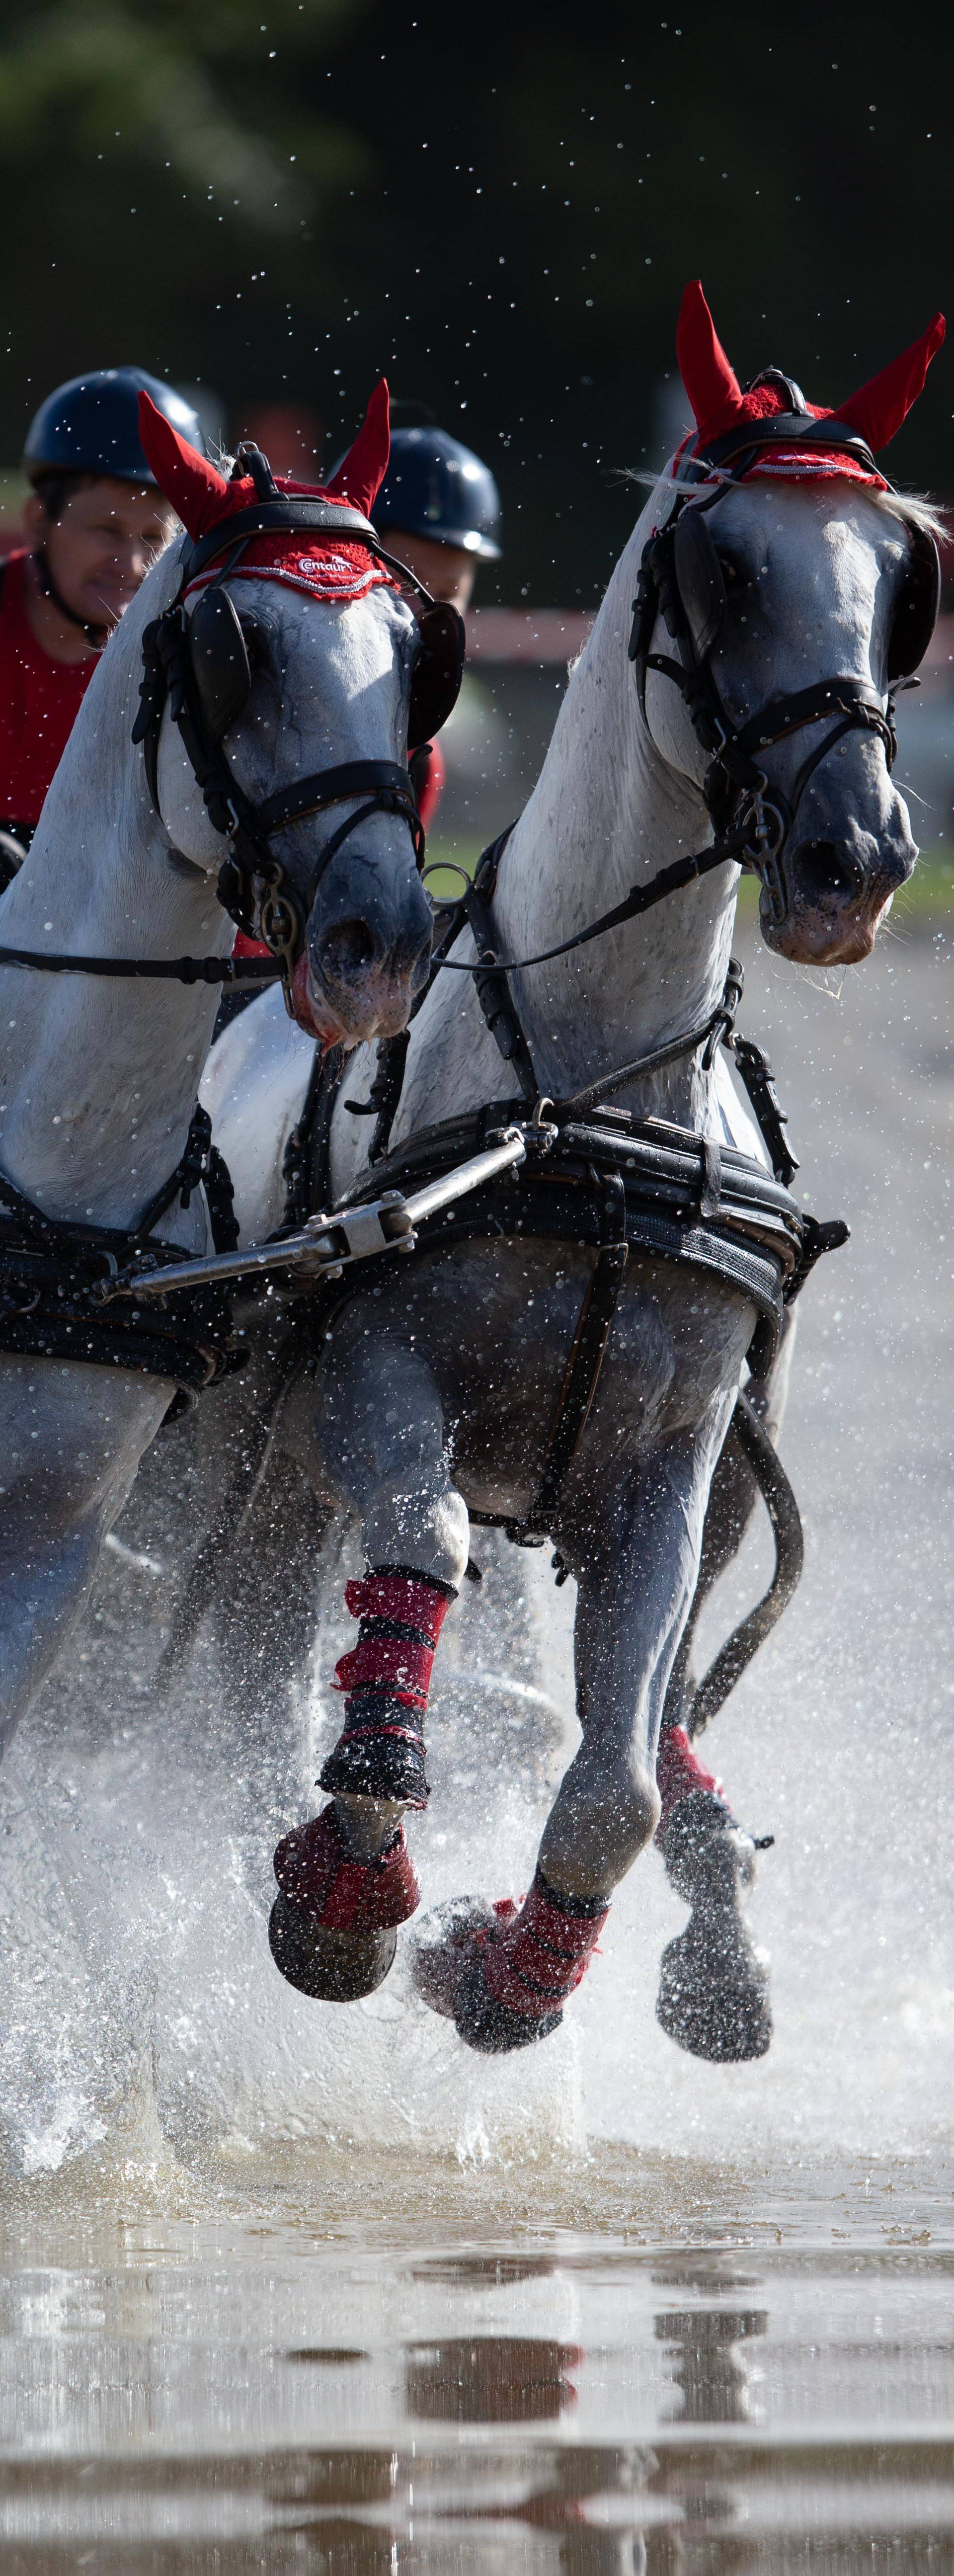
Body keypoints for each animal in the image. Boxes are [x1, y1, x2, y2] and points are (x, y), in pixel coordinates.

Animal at [197, 287, 944, 2050]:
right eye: (725, 566)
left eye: (900, 578)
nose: (860, 857)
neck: (589, 1107)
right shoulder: (375, 1382)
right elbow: (420, 1553)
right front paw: (346, 1895)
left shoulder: (663, 1470)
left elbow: (610, 1781)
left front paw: (508, 1967)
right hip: (257, 1478)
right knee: (254, 1682)